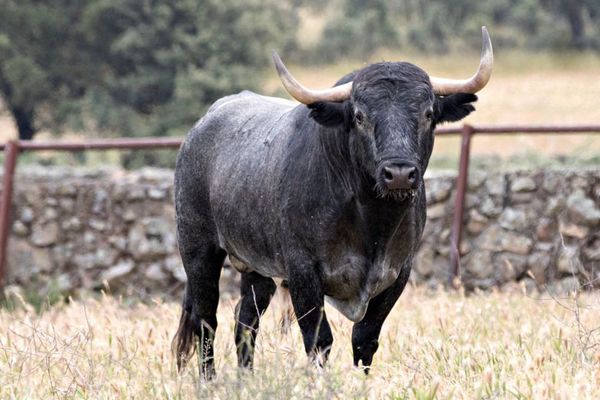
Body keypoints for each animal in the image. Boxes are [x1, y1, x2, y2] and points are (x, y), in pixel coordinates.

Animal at [172, 28, 492, 378]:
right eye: (360, 116)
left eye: (428, 114)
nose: (398, 174)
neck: (372, 222)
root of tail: (201, 127)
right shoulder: (303, 273)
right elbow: (319, 339)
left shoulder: (397, 273)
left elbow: (365, 339)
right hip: (198, 251)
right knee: (206, 320)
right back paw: (209, 380)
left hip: (256, 268)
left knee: (245, 321)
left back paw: (246, 378)